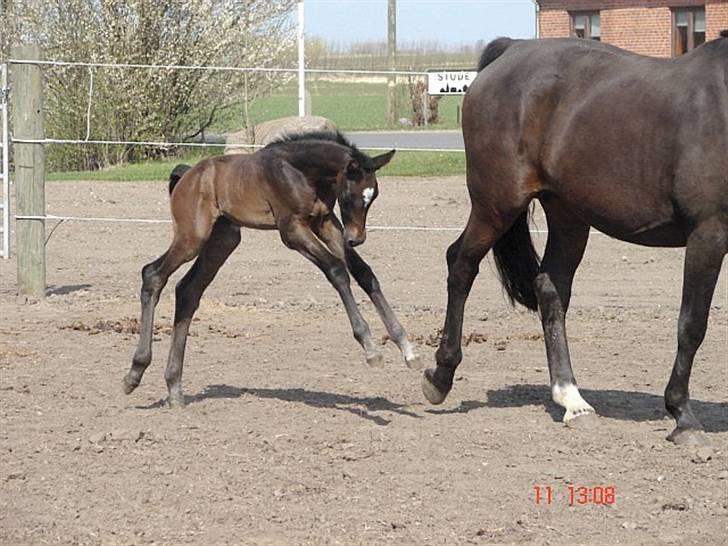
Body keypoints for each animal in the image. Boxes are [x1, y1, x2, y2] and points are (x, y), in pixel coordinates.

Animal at [124, 131, 418, 404]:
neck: (301, 172)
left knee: (187, 291)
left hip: (223, 241)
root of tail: (187, 176)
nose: (356, 239)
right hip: (192, 238)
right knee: (153, 275)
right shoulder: (292, 230)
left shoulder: (325, 222)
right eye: (348, 196)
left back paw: (174, 387)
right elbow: (336, 270)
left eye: (373, 196)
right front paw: (370, 348)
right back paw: (135, 373)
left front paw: (406, 346)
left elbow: (364, 273)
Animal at [420, 31, 728, 444]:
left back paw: (571, 399)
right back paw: (441, 376)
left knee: (550, 289)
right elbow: (692, 324)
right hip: (496, 204)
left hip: (567, 216)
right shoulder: (707, 233)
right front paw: (683, 416)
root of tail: (512, 49)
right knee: (461, 265)